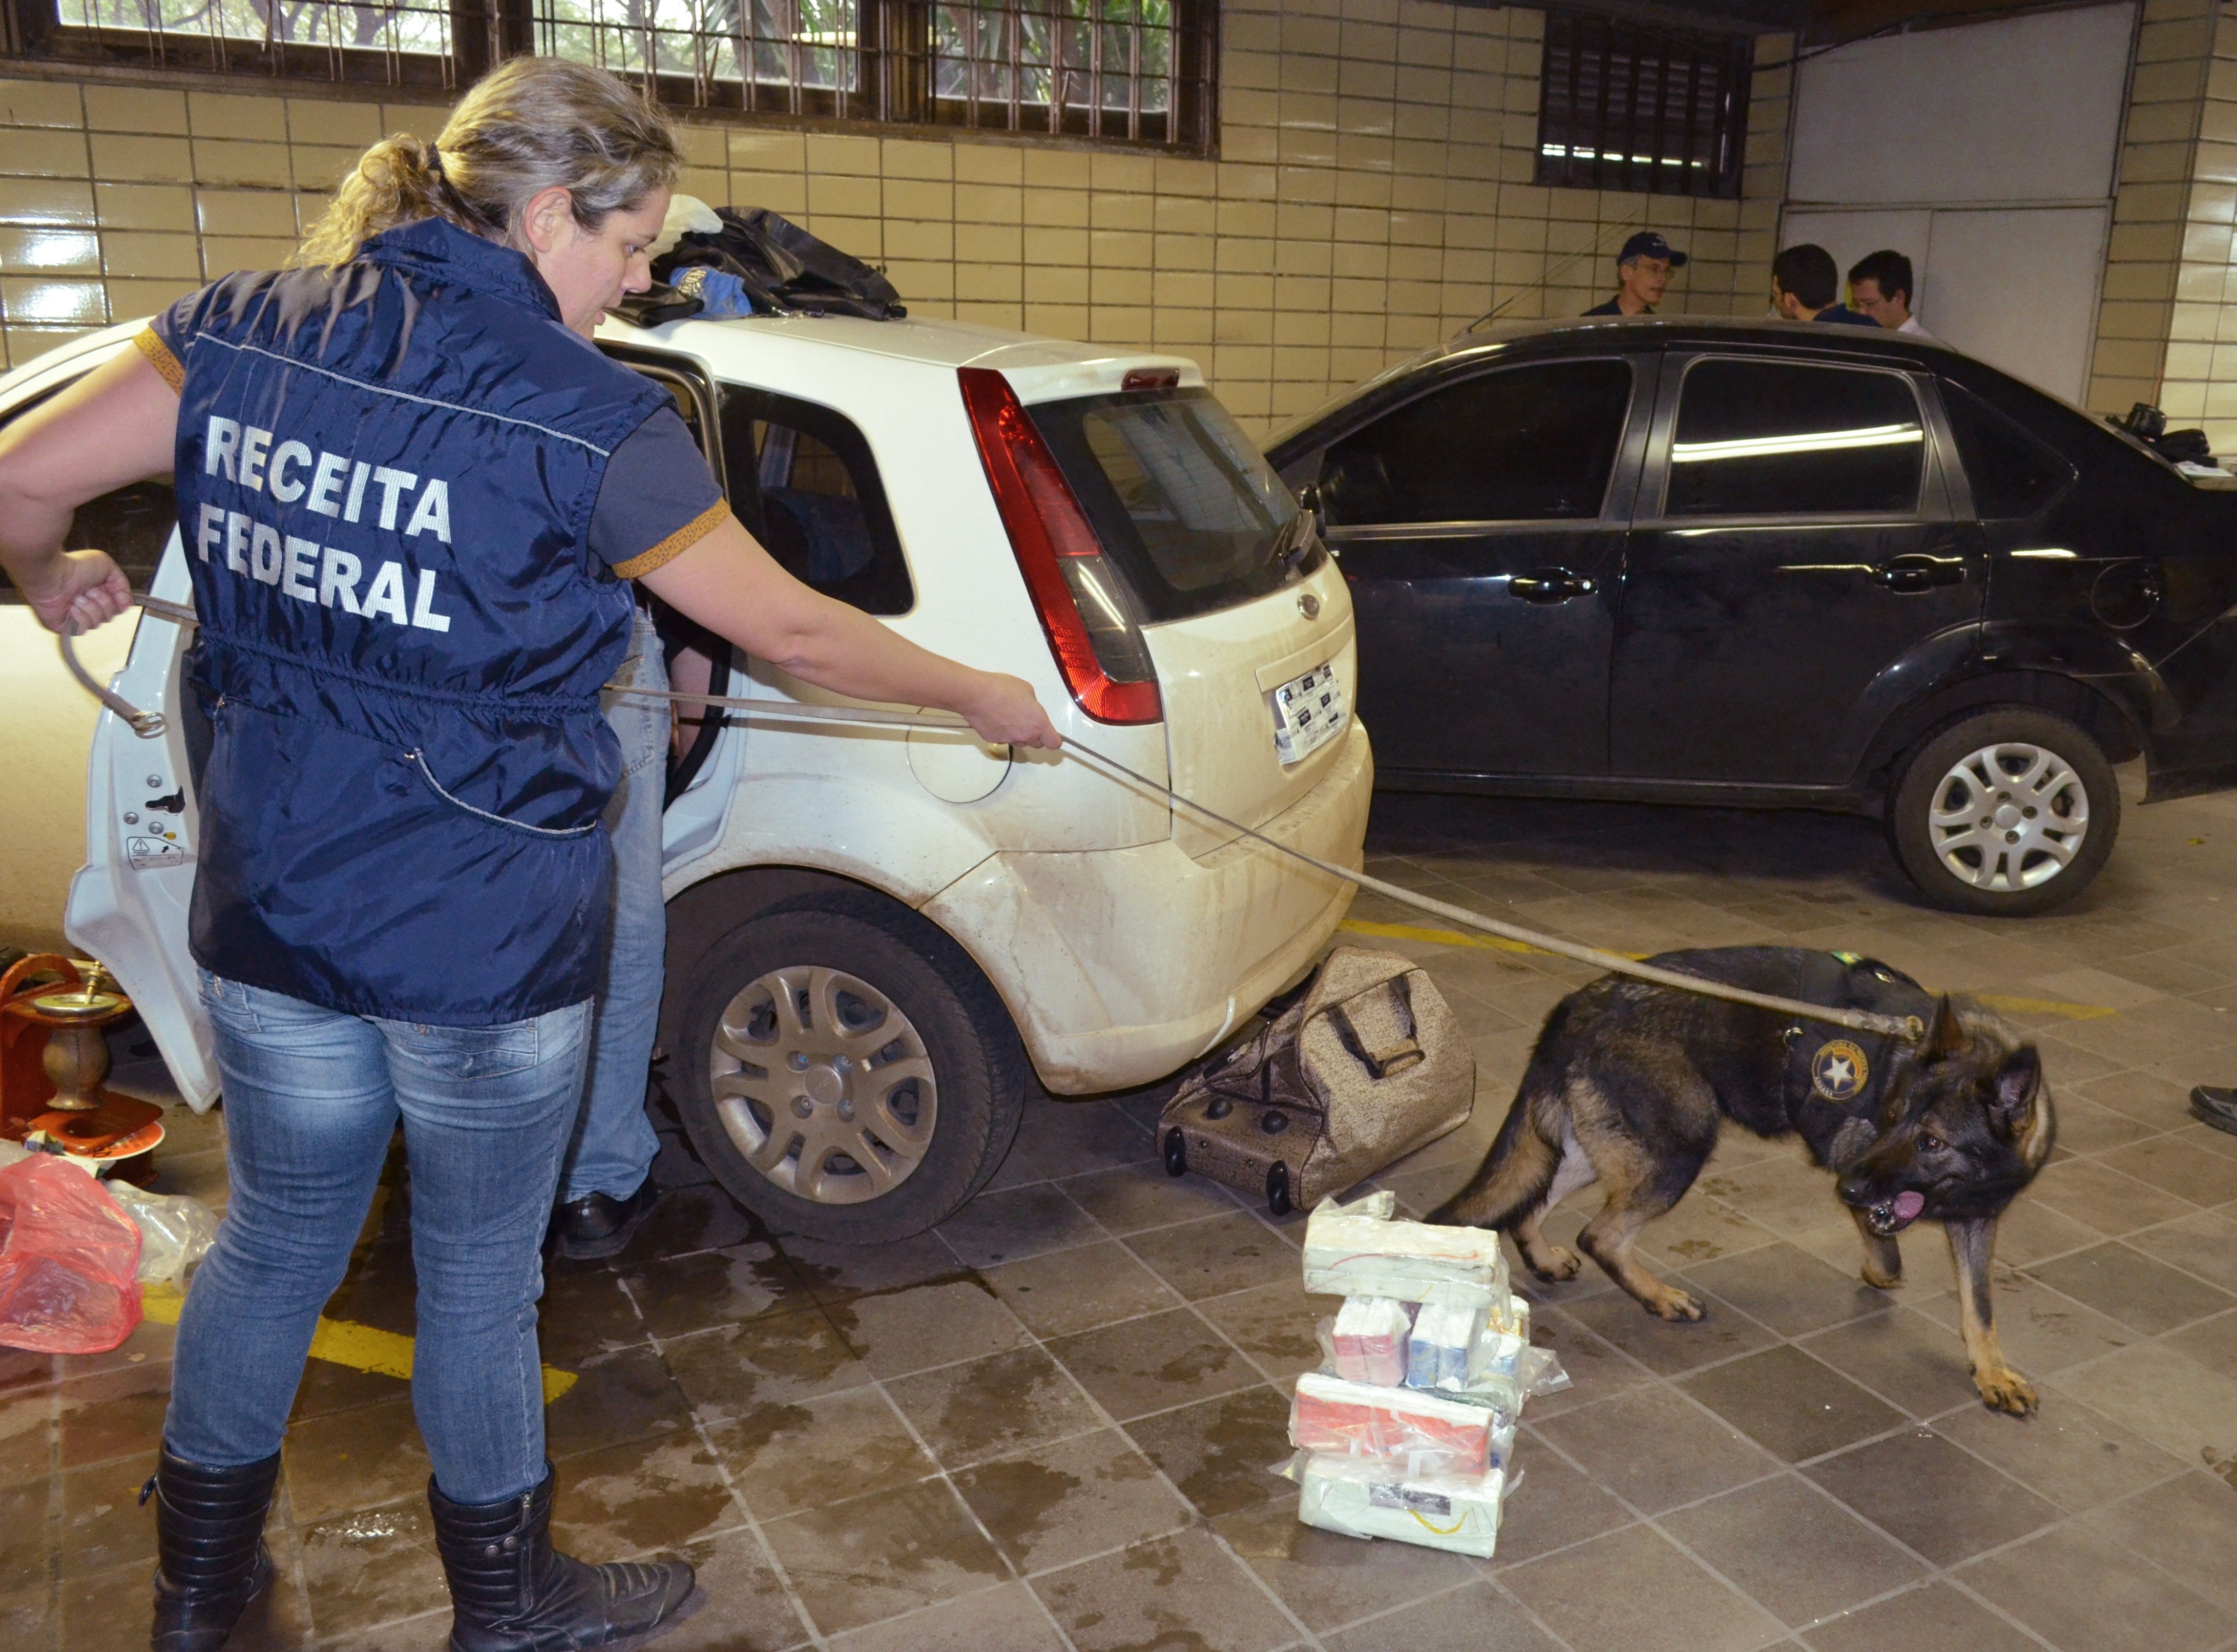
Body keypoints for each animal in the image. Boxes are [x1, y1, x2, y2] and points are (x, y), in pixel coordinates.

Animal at [1440, 945, 2049, 1406]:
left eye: (1931, 1143)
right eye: (1891, 1118)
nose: (1846, 1189)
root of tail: (1578, 1003)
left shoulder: (1976, 1220)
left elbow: (1979, 1305)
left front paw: (1991, 1372)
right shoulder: (1856, 1157)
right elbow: (1887, 1248)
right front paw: (1879, 1265)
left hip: (1590, 1147)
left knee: (1529, 1202)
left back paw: (1543, 1258)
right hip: (1679, 1148)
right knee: (1600, 1234)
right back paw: (1659, 1297)